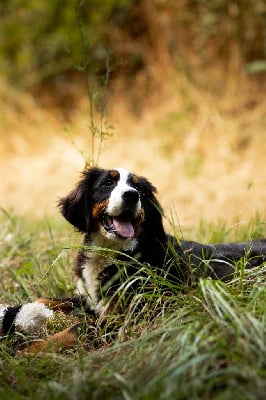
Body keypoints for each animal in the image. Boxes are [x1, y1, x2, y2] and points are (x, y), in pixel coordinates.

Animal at [3, 166, 266, 354]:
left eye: (140, 189)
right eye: (107, 183)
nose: (131, 195)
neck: (111, 251)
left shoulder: (121, 316)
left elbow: (76, 328)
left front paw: (31, 350)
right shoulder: (88, 298)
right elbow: (48, 299)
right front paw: (20, 310)